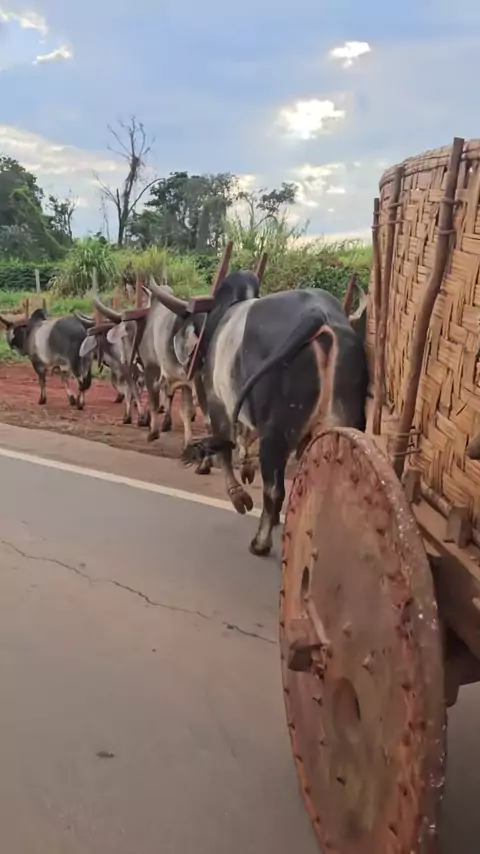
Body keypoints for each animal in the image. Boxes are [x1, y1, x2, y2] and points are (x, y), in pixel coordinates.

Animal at [147, 272, 369, 556]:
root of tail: (317, 316)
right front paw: (247, 471)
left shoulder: (217, 405)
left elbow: (225, 450)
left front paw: (238, 495)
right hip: (337, 425)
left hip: (276, 435)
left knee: (274, 490)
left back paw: (261, 543)